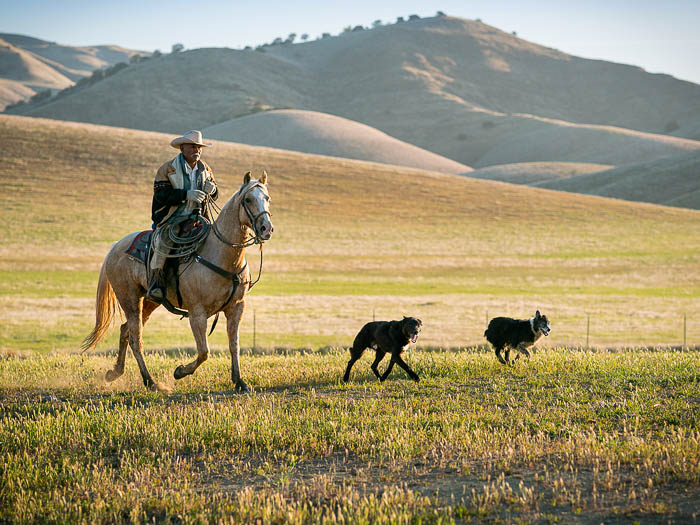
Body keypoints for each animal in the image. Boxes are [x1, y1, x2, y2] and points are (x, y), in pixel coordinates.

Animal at [82, 170, 274, 390]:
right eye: (248, 200)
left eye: (267, 198)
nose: (266, 228)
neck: (222, 255)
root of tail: (115, 247)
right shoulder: (197, 313)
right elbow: (204, 352)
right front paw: (180, 371)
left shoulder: (236, 307)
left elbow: (234, 345)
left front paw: (239, 381)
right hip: (130, 300)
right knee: (136, 339)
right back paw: (151, 382)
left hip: (149, 301)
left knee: (125, 331)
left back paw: (115, 372)